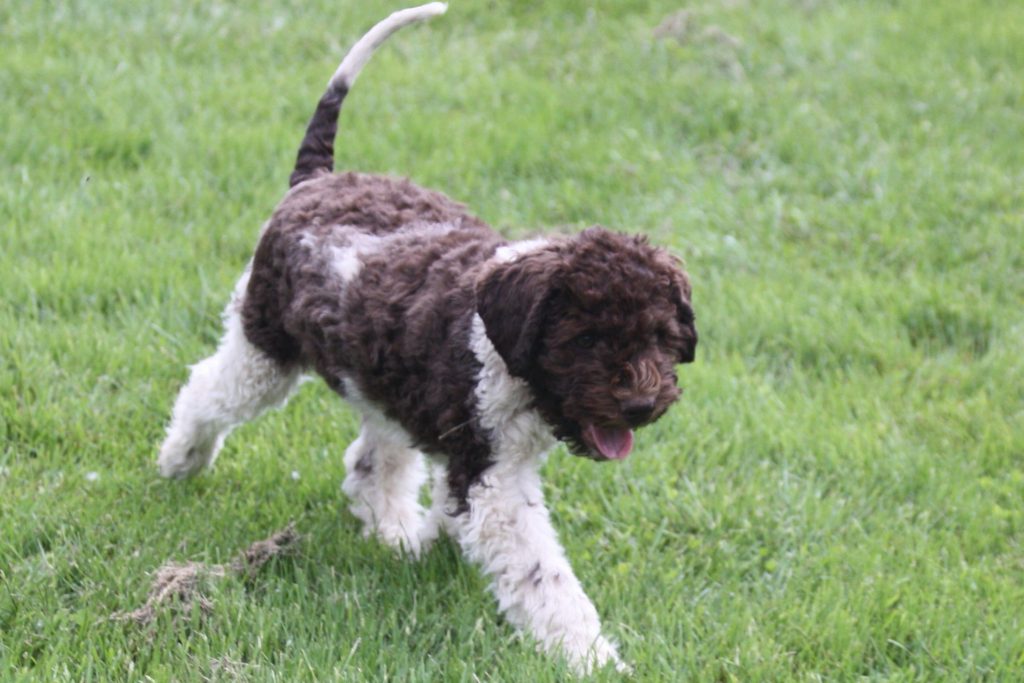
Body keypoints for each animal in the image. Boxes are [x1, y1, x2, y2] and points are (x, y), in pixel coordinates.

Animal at [157, 0, 696, 671]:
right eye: (587, 340)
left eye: (661, 337)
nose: (642, 404)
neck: (503, 347)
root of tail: (316, 181)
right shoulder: (493, 479)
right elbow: (545, 578)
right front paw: (593, 660)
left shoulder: (470, 452)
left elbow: (448, 500)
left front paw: (436, 536)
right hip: (265, 346)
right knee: (209, 388)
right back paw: (180, 460)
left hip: (376, 377)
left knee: (370, 458)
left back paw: (394, 534)